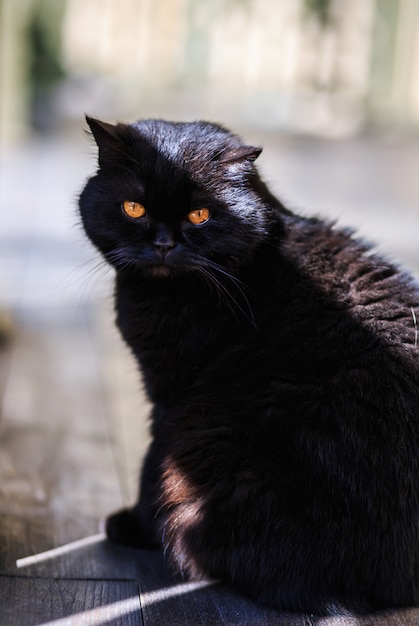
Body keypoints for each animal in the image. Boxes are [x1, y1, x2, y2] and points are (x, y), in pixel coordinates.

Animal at [79, 114, 419, 612]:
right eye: (134, 208)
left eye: (200, 215)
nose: (162, 244)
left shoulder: (173, 399)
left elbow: (151, 464)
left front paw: (133, 524)